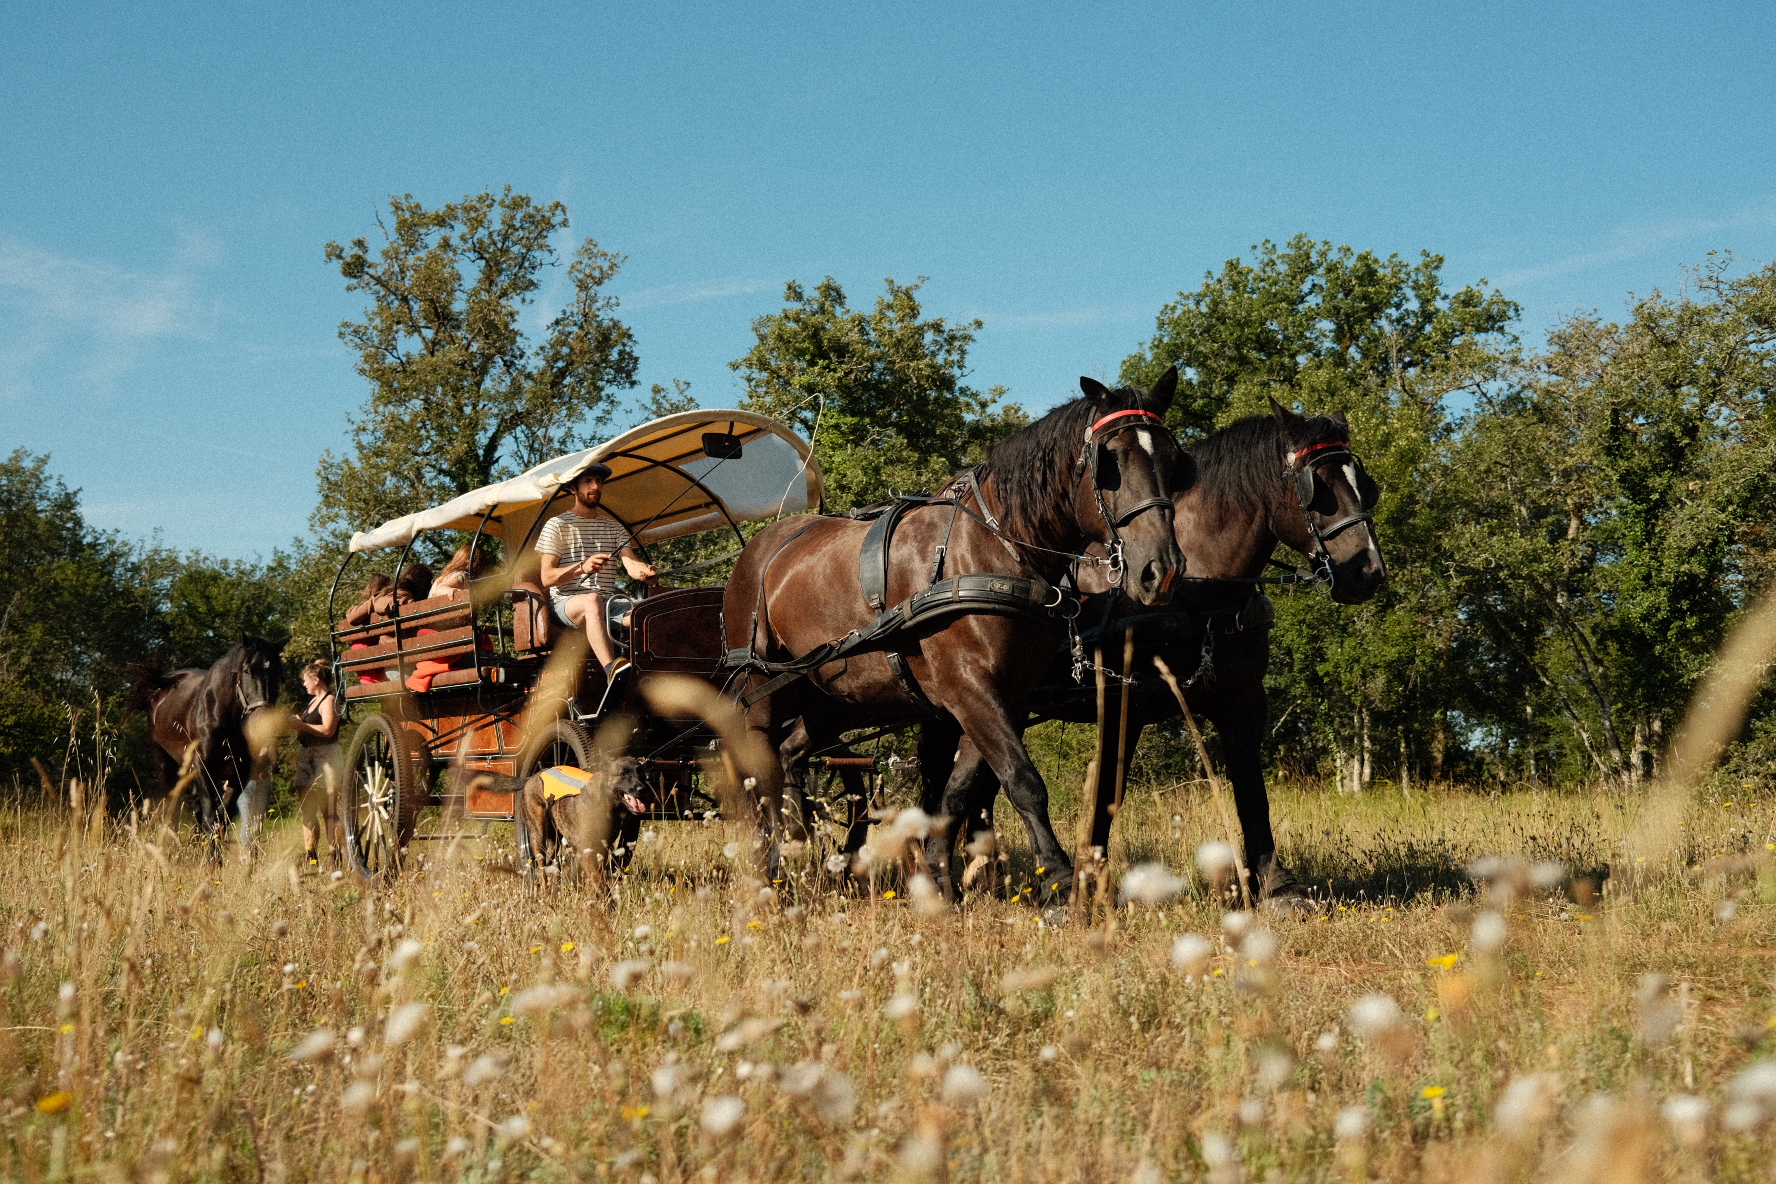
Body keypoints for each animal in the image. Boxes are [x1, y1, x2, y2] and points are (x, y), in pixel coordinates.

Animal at [128, 639, 282, 852]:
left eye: (277, 672)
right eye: (247, 671)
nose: (262, 721)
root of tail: (161, 684)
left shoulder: (239, 774)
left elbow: (222, 814)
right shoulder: (203, 768)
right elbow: (210, 815)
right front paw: (212, 855)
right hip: (165, 764)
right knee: (172, 805)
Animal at [728, 372, 1186, 887]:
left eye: (1173, 459)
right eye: (1111, 461)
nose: (1161, 570)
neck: (996, 547)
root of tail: (761, 546)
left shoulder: (1005, 696)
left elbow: (959, 791)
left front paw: (938, 878)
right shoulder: (970, 690)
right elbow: (1022, 781)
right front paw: (1059, 878)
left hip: (837, 696)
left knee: (791, 754)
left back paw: (795, 846)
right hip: (760, 683)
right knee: (761, 767)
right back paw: (771, 864)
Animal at [930, 397, 1385, 908]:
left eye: (1362, 484)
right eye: (1317, 488)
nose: (1368, 572)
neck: (1198, 590)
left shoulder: (1241, 698)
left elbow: (1251, 786)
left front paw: (1276, 883)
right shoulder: (1122, 703)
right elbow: (1108, 792)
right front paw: (1089, 883)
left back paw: (983, 877)